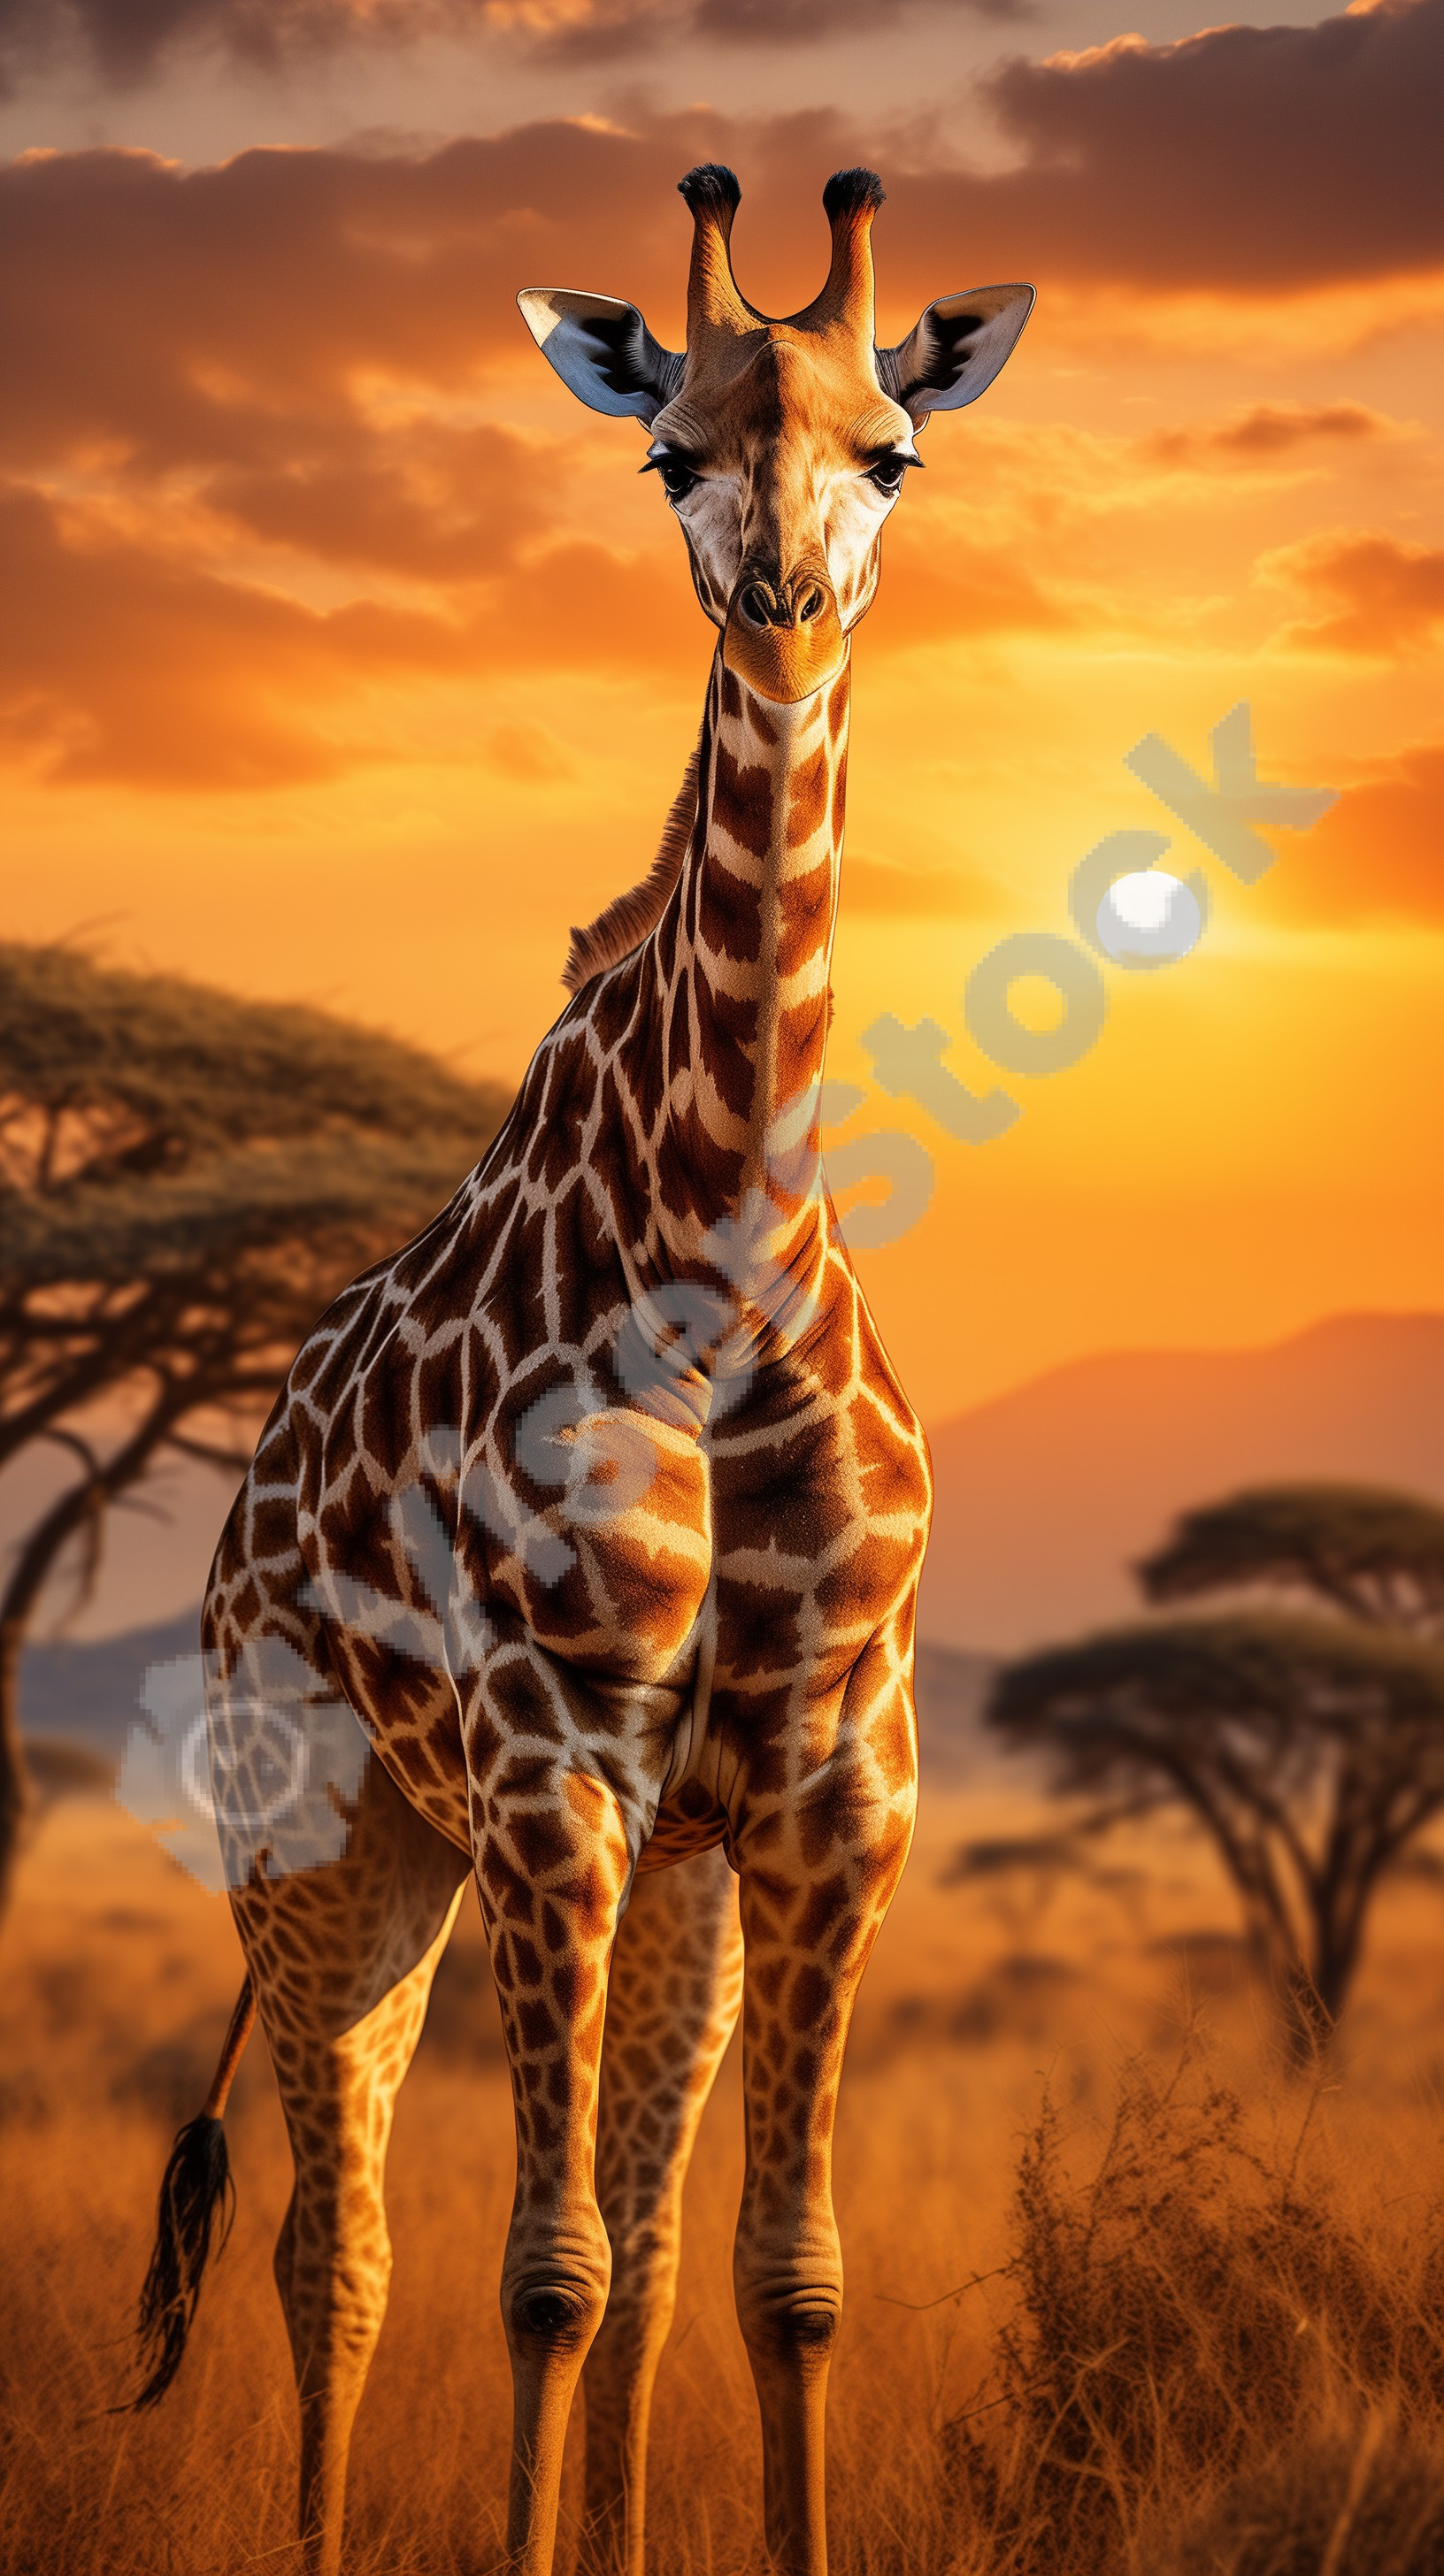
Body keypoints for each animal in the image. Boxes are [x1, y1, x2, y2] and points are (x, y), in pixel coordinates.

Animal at [129, 163, 1033, 2576]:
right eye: (667, 449)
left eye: (892, 451)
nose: (784, 599)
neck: (722, 1242)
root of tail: (237, 1517)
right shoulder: (552, 1772)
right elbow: (537, 2270)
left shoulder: (832, 1790)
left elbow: (776, 2279)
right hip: (328, 1831)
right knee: (331, 2250)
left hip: (653, 1866)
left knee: (616, 2251)